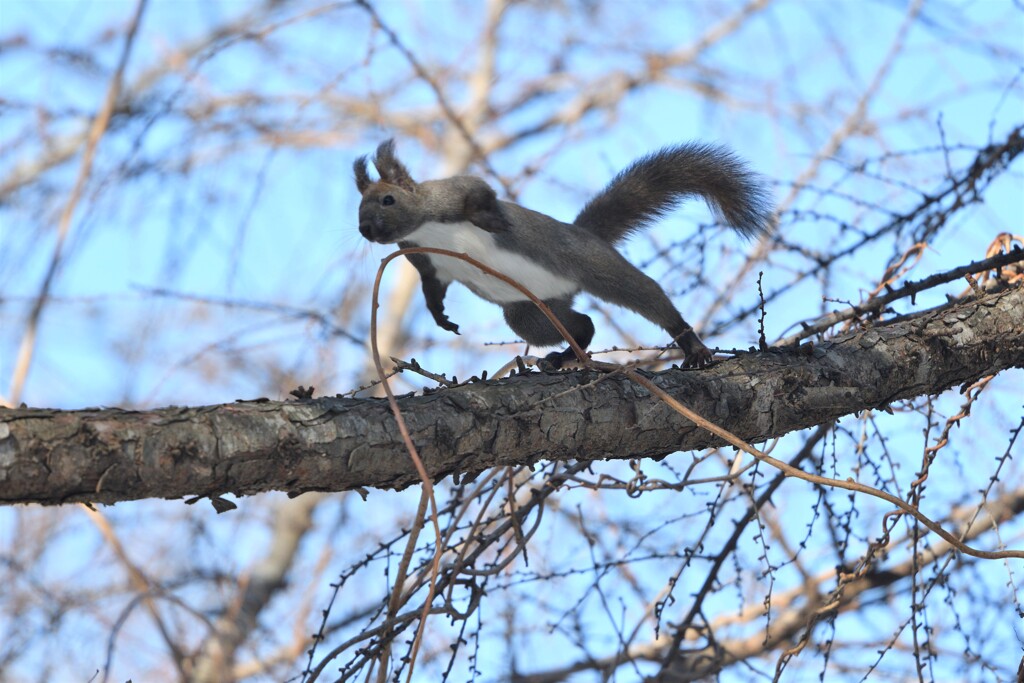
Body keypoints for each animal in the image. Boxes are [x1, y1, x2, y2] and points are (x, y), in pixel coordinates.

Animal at [356, 139, 770, 370]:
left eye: (388, 199)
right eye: (359, 207)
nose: (366, 229)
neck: (425, 229)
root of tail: (585, 234)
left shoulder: (451, 193)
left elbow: (480, 194)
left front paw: (492, 219)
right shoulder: (424, 258)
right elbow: (431, 286)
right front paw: (440, 316)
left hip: (597, 268)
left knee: (647, 297)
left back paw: (691, 344)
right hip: (531, 312)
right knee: (582, 324)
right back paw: (564, 357)